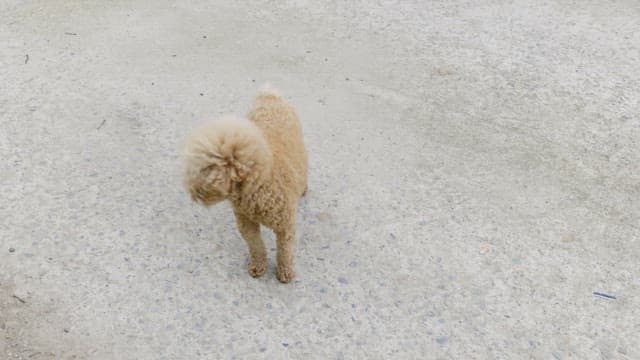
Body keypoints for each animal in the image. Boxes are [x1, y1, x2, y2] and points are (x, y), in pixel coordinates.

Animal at [182, 86, 308, 282]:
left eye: (204, 168)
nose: (192, 191)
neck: (259, 185)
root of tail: (270, 96)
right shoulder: (246, 222)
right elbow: (255, 244)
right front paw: (258, 266)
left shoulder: (285, 226)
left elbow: (285, 251)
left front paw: (285, 272)